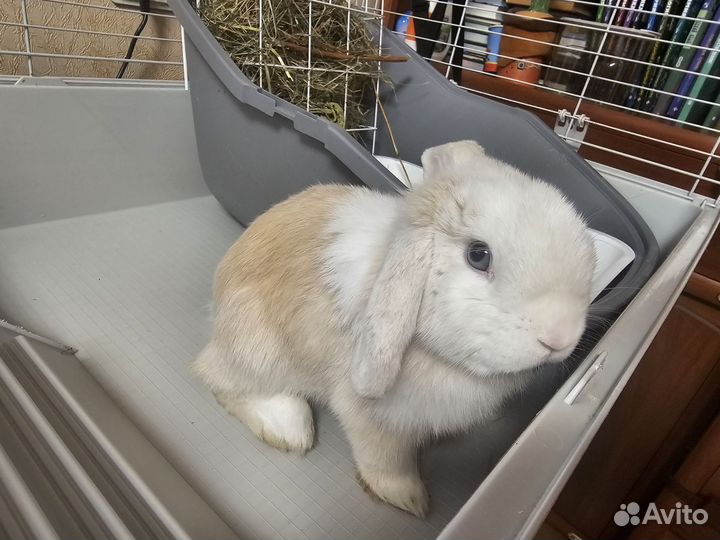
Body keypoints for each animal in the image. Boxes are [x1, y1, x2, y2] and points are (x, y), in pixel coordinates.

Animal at [193, 140, 596, 518]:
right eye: (478, 256)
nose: (560, 337)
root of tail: (216, 304)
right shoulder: (373, 418)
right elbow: (387, 460)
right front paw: (408, 498)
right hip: (258, 349)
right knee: (218, 379)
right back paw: (288, 428)